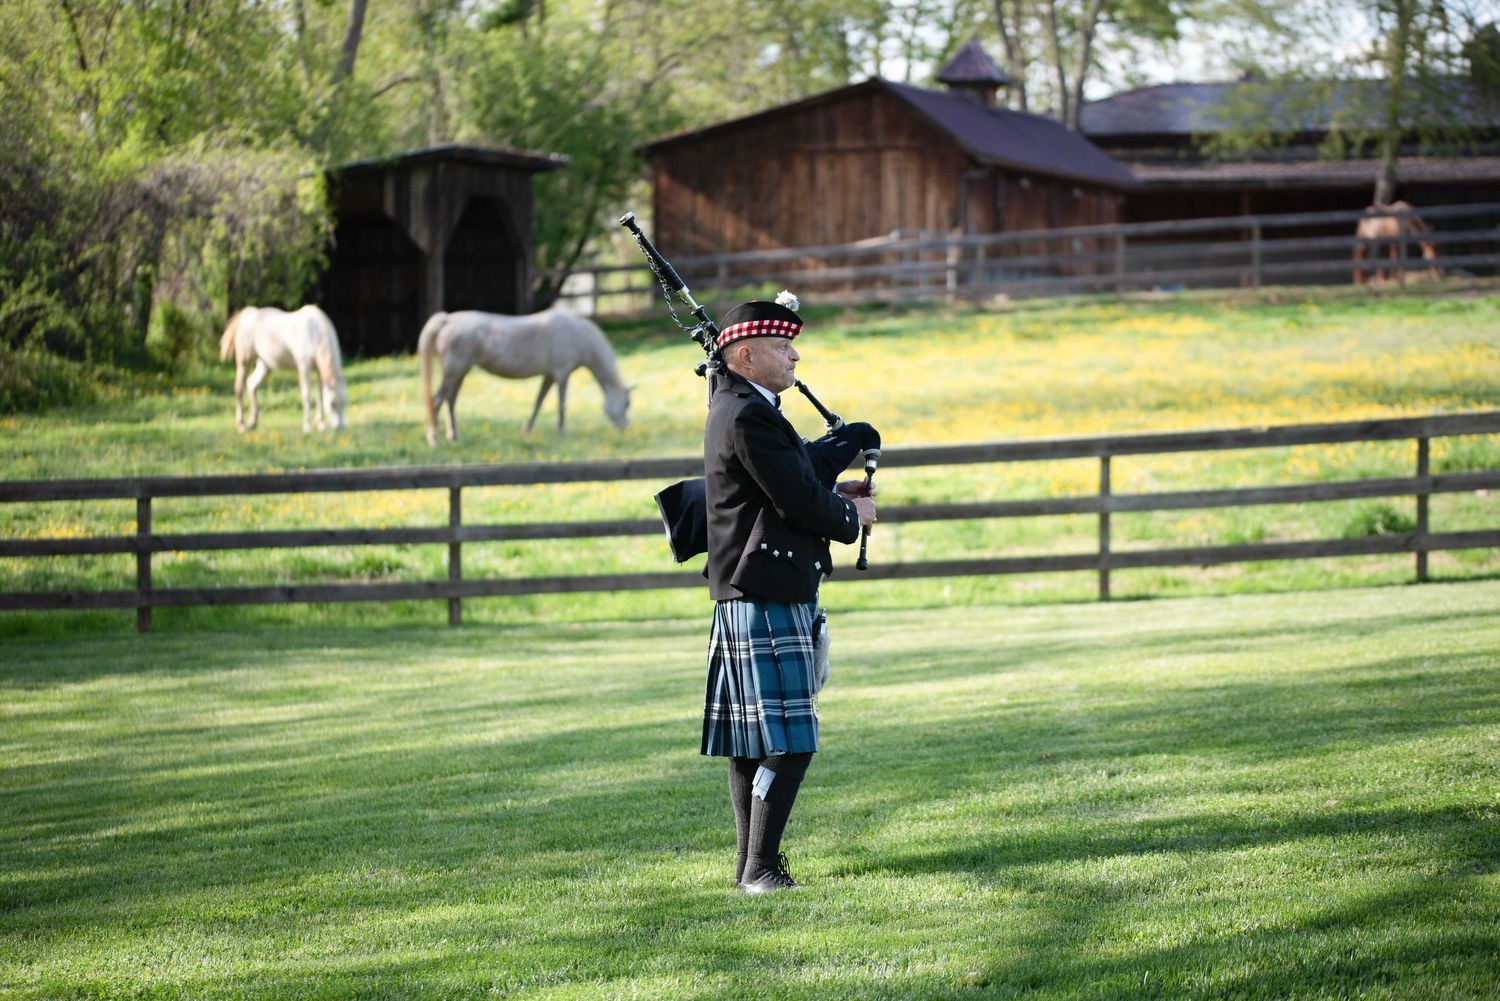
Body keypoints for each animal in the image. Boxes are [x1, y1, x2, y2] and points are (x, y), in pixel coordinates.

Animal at [219, 305, 347, 433]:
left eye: (344, 403)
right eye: (332, 404)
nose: (340, 427)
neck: (315, 332)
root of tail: (248, 314)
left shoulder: (319, 370)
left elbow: (320, 395)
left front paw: (321, 424)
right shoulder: (304, 366)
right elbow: (306, 395)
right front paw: (307, 426)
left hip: (265, 365)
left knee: (252, 384)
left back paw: (252, 423)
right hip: (244, 361)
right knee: (239, 388)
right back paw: (241, 425)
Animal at [418, 307, 630, 445]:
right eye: (627, 404)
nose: (624, 428)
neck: (579, 334)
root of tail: (449, 319)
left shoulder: (549, 376)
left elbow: (538, 402)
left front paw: (527, 429)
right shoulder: (562, 374)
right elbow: (562, 405)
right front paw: (562, 432)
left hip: (460, 372)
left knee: (450, 401)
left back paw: (454, 436)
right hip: (454, 371)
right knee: (437, 400)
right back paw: (433, 438)